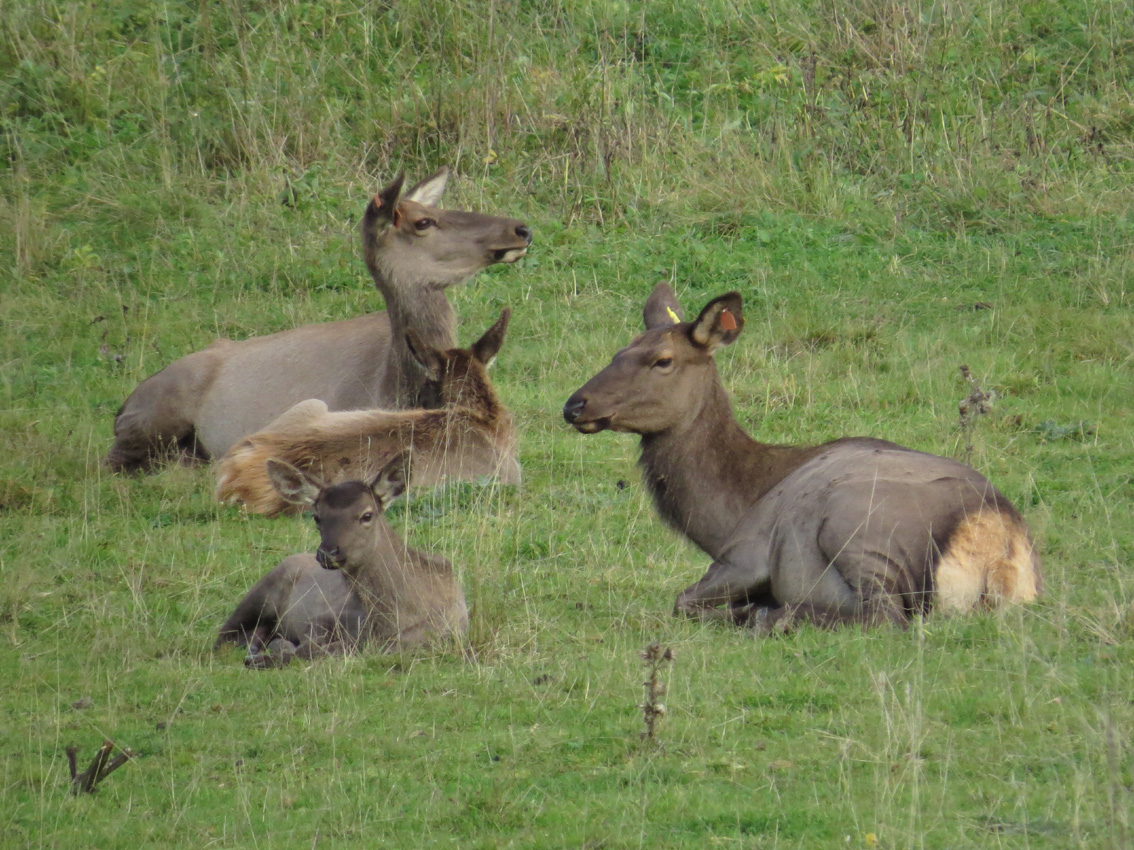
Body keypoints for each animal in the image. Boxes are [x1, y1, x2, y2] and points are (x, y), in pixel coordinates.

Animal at [106, 166, 530, 473]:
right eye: (423, 222)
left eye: (438, 209)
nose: (520, 228)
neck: (396, 386)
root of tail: (122, 406)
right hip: (157, 416)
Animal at [213, 310, 519, 516]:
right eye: (424, 388)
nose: (416, 403)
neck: (487, 420)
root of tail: (235, 475)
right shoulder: (507, 476)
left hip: (309, 404)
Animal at [214, 455, 467, 670]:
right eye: (317, 517)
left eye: (367, 515)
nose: (328, 552)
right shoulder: (324, 618)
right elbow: (313, 647)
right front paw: (268, 656)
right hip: (262, 592)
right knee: (224, 637)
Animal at [562, 286, 1038, 634]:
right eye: (617, 353)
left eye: (662, 360)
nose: (574, 405)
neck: (726, 515)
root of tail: (998, 544)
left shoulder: (743, 554)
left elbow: (680, 601)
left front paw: (750, 610)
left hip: (857, 528)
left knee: (885, 617)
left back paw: (772, 616)